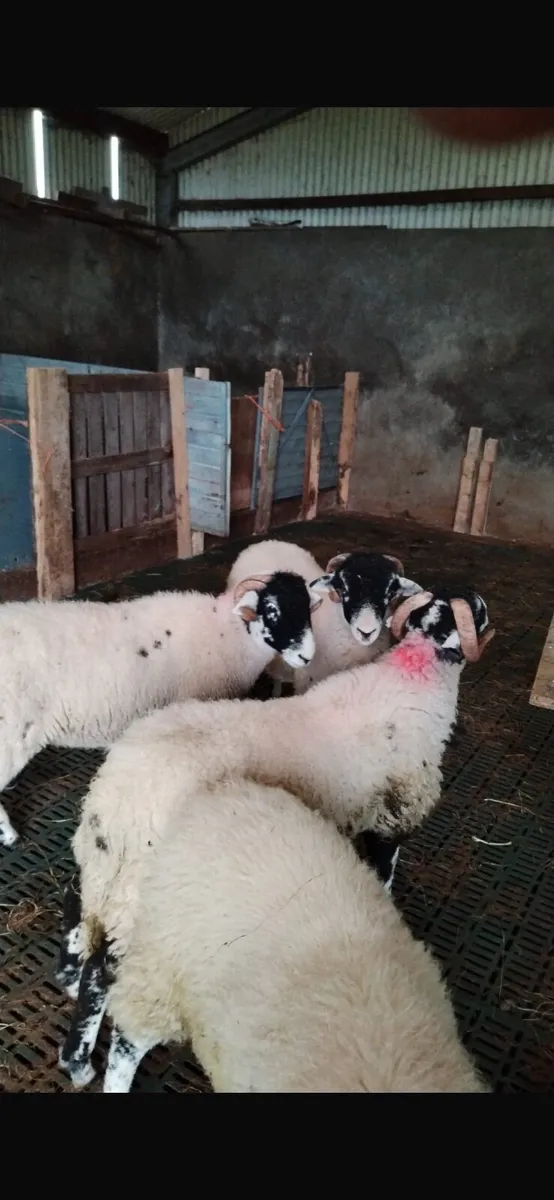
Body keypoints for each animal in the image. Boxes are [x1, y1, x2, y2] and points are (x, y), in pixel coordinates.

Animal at [0, 571, 322, 850]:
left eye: (308, 608)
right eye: (271, 609)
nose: (307, 657)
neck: (227, 634)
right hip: (12, 736)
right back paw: (10, 836)